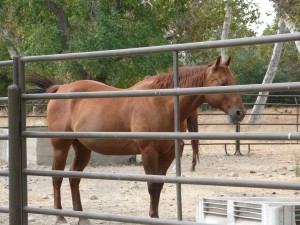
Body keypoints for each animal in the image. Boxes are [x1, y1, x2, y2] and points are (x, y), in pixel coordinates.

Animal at [27, 55, 245, 224]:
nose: (239, 113)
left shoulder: (169, 154)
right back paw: (60, 217)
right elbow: (151, 186)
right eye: (222, 83)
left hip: (82, 148)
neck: (163, 103)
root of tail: (61, 88)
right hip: (60, 146)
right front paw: (152, 217)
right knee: (57, 178)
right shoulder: (148, 152)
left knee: (74, 178)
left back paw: (82, 217)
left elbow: (159, 185)